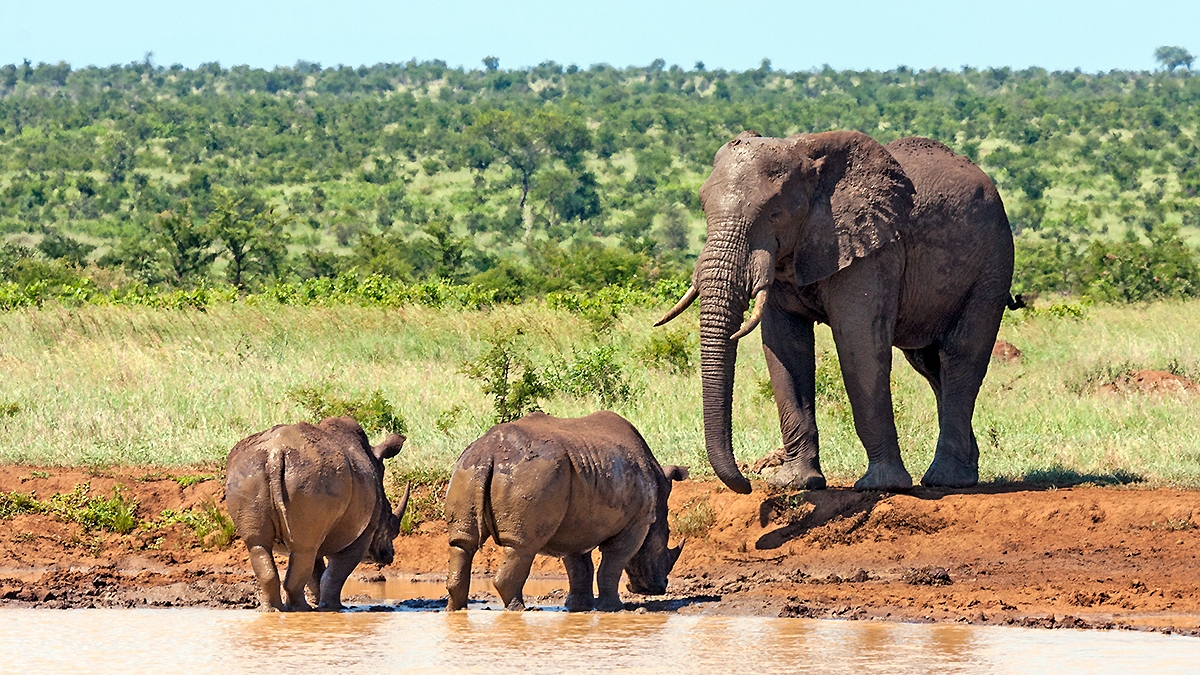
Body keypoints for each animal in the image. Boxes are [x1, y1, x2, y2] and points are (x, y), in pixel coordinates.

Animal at [225, 416, 410, 611]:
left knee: (262, 546)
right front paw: (333, 607)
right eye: (391, 524)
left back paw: (274, 610)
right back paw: (300, 609)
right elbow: (335, 573)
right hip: (313, 479)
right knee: (303, 551)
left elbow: (317, 571)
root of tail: (274, 454)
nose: (389, 556)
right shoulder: (364, 532)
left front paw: (318, 602)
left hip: (247, 473)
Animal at [444, 411, 688, 612]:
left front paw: (578, 607)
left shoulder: (576, 523)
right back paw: (520, 610)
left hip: (468, 466)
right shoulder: (639, 521)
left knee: (462, 542)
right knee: (522, 545)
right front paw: (613, 608)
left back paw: (457, 610)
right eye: (667, 536)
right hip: (534, 472)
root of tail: (489, 451)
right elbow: (613, 563)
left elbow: (579, 566)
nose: (658, 588)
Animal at [657, 130, 1013, 494]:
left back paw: (946, 480)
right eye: (703, 206)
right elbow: (785, 348)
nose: (747, 483)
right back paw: (964, 473)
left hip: (993, 264)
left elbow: (859, 342)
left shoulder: (872, 249)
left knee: (960, 357)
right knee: (929, 365)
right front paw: (795, 483)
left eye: (774, 213)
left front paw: (881, 486)